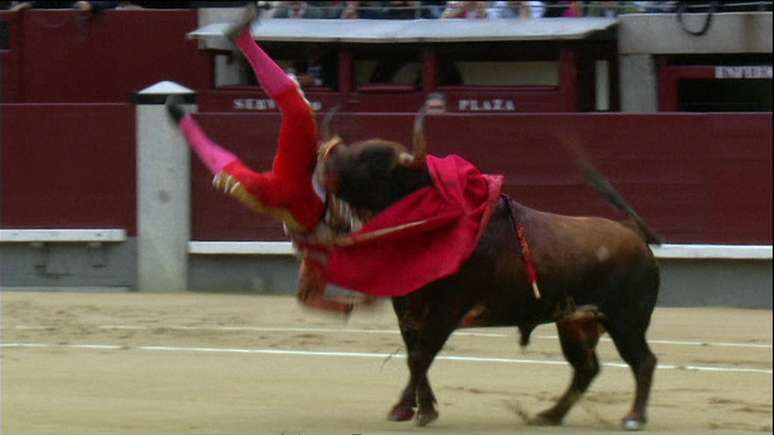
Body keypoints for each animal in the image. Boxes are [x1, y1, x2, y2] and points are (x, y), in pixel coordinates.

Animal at [322, 110, 660, 432]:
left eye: (373, 161)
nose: (327, 162)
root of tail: (634, 234)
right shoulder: (407, 307)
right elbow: (414, 356)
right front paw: (413, 408)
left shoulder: (448, 308)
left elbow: (420, 356)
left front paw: (416, 410)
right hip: (575, 322)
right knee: (586, 369)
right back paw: (549, 415)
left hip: (626, 320)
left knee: (643, 361)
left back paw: (633, 418)